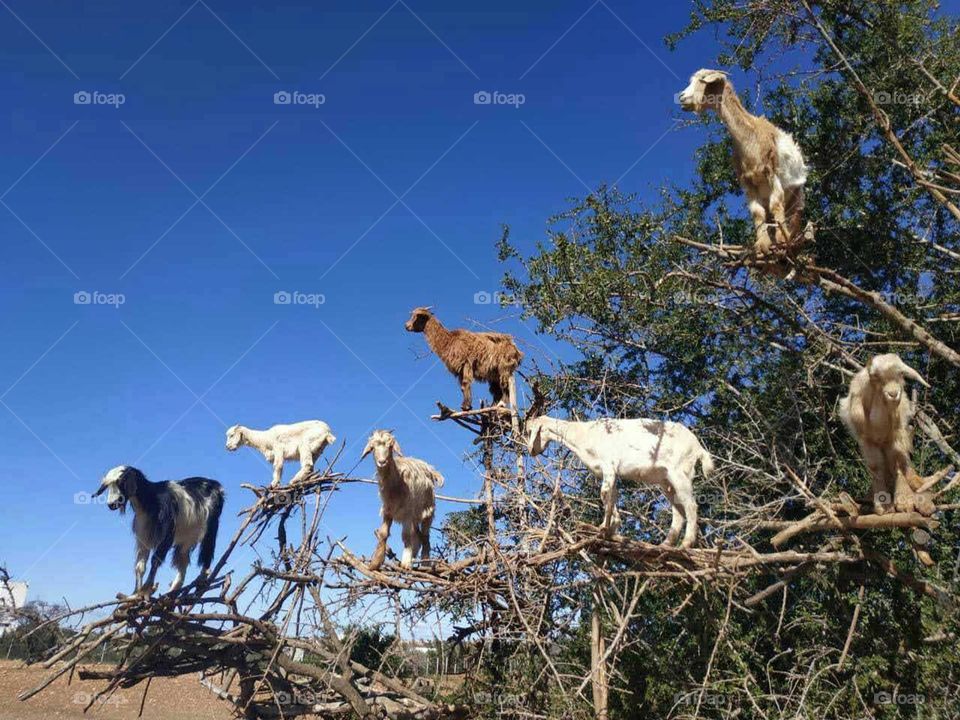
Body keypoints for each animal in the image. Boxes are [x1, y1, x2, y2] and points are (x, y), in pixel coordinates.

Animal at [95, 466, 227, 596]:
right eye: (107, 485)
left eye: (121, 482)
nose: (111, 504)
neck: (151, 499)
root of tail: (216, 485)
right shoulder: (143, 536)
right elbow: (139, 566)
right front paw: (136, 592)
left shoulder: (167, 532)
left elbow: (156, 558)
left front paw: (146, 588)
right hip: (187, 536)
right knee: (182, 560)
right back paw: (173, 591)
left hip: (211, 525)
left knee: (207, 550)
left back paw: (201, 579)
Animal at [362, 430, 444, 572]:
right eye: (373, 447)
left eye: (390, 446)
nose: (382, 462)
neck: (397, 483)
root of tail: (430, 469)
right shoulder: (388, 510)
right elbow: (383, 533)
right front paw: (375, 562)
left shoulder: (407, 512)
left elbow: (406, 536)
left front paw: (406, 563)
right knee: (418, 535)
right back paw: (415, 556)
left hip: (427, 510)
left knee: (425, 536)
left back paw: (425, 563)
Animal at [524, 416, 712, 544]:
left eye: (530, 431)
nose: (531, 451)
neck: (584, 434)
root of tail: (697, 446)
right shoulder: (610, 473)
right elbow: (611, 496)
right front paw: (611, 527)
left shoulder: (609, 466)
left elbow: (604, 493)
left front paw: (605, 528)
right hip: (666, 481)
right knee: (678, 510)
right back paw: (666, 545)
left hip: (680, 472)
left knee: (691, 505)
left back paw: (686, 544)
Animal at [676, 68, 808, 253]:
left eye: (703, 79)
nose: (681, 97)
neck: (749, 138)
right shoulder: (747, 181)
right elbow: (757, 212)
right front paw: (762, 245)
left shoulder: (771, 173)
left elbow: (776, 203)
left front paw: (783, 240)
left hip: (797, 195)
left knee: (792, 215)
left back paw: (789, 238)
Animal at [836, 352, 932, 516]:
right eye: (877, 377)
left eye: (901, 374)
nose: (893, 394)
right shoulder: (866, 440)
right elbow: (875, 467)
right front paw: (882, 504)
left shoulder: (895, 434)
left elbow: (899, 461)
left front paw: (905, 502)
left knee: (902, 462)